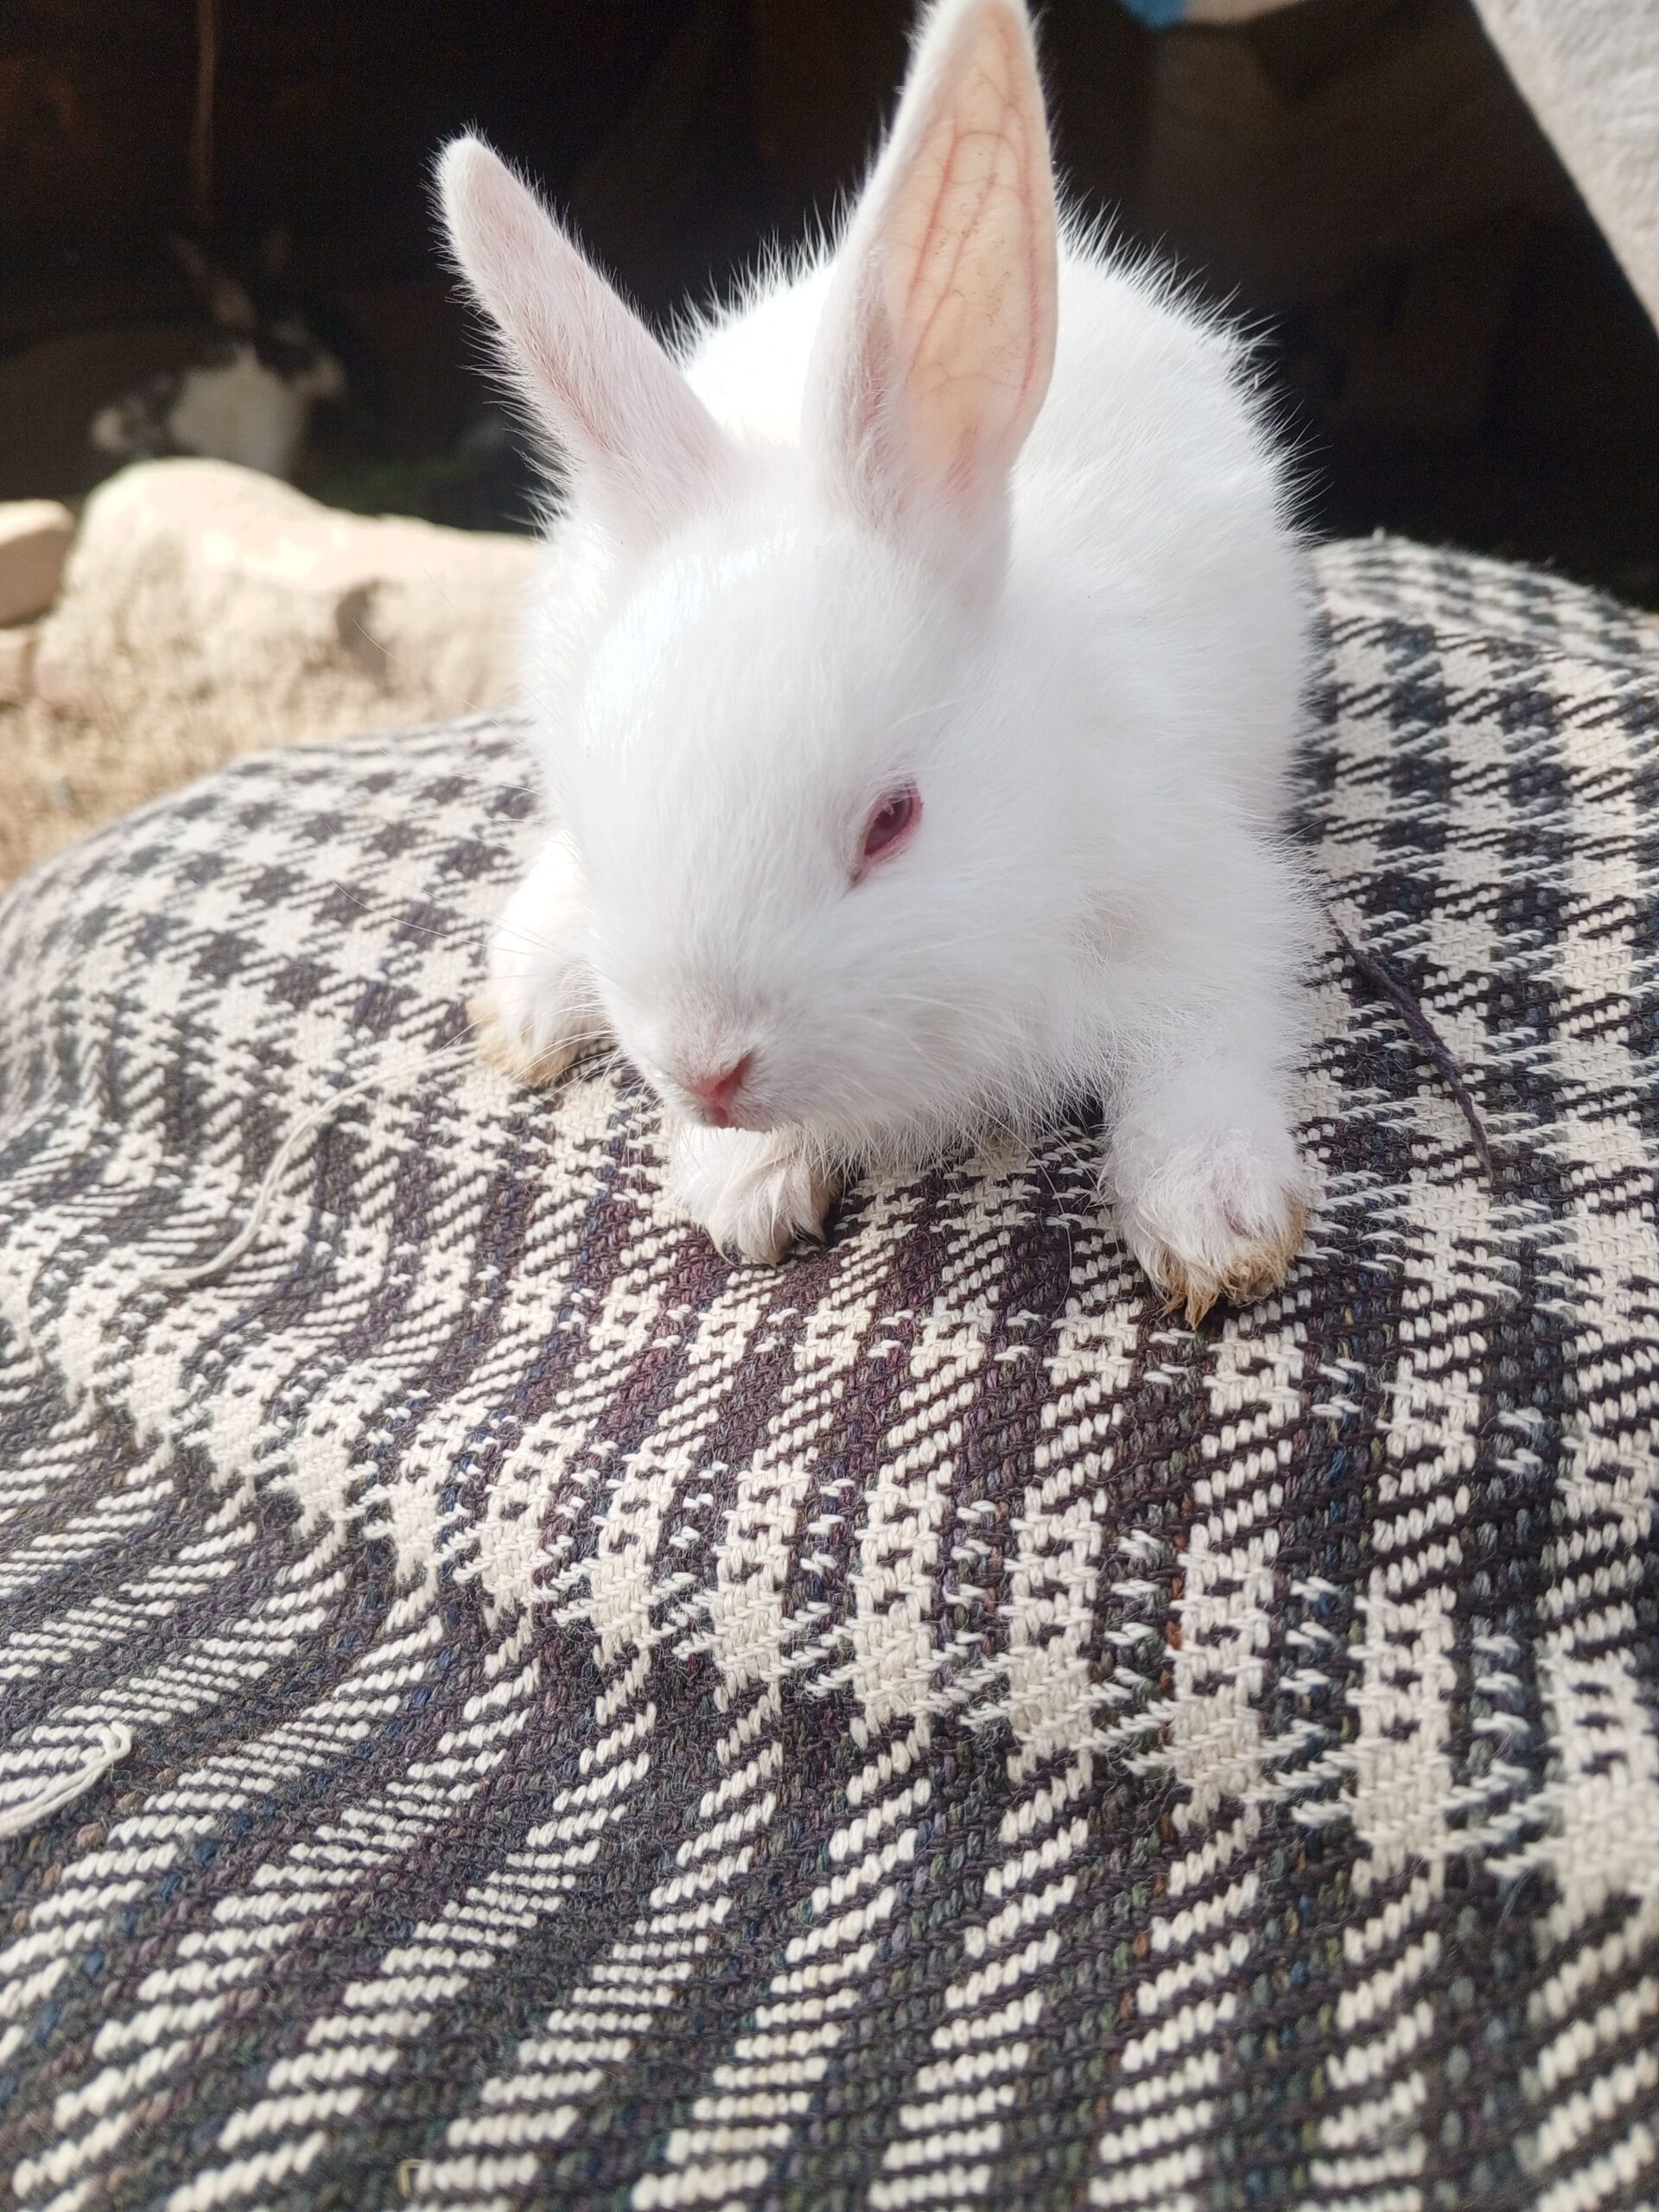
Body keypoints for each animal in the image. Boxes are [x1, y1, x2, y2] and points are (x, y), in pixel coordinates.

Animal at [438, 0, 1317, 1323]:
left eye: (892, 820)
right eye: (600, 825)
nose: (705, 1068)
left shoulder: (1204, 912)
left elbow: (1202, 1051)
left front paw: (1218, 1224)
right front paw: (744, 1184)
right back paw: (528, 1002)